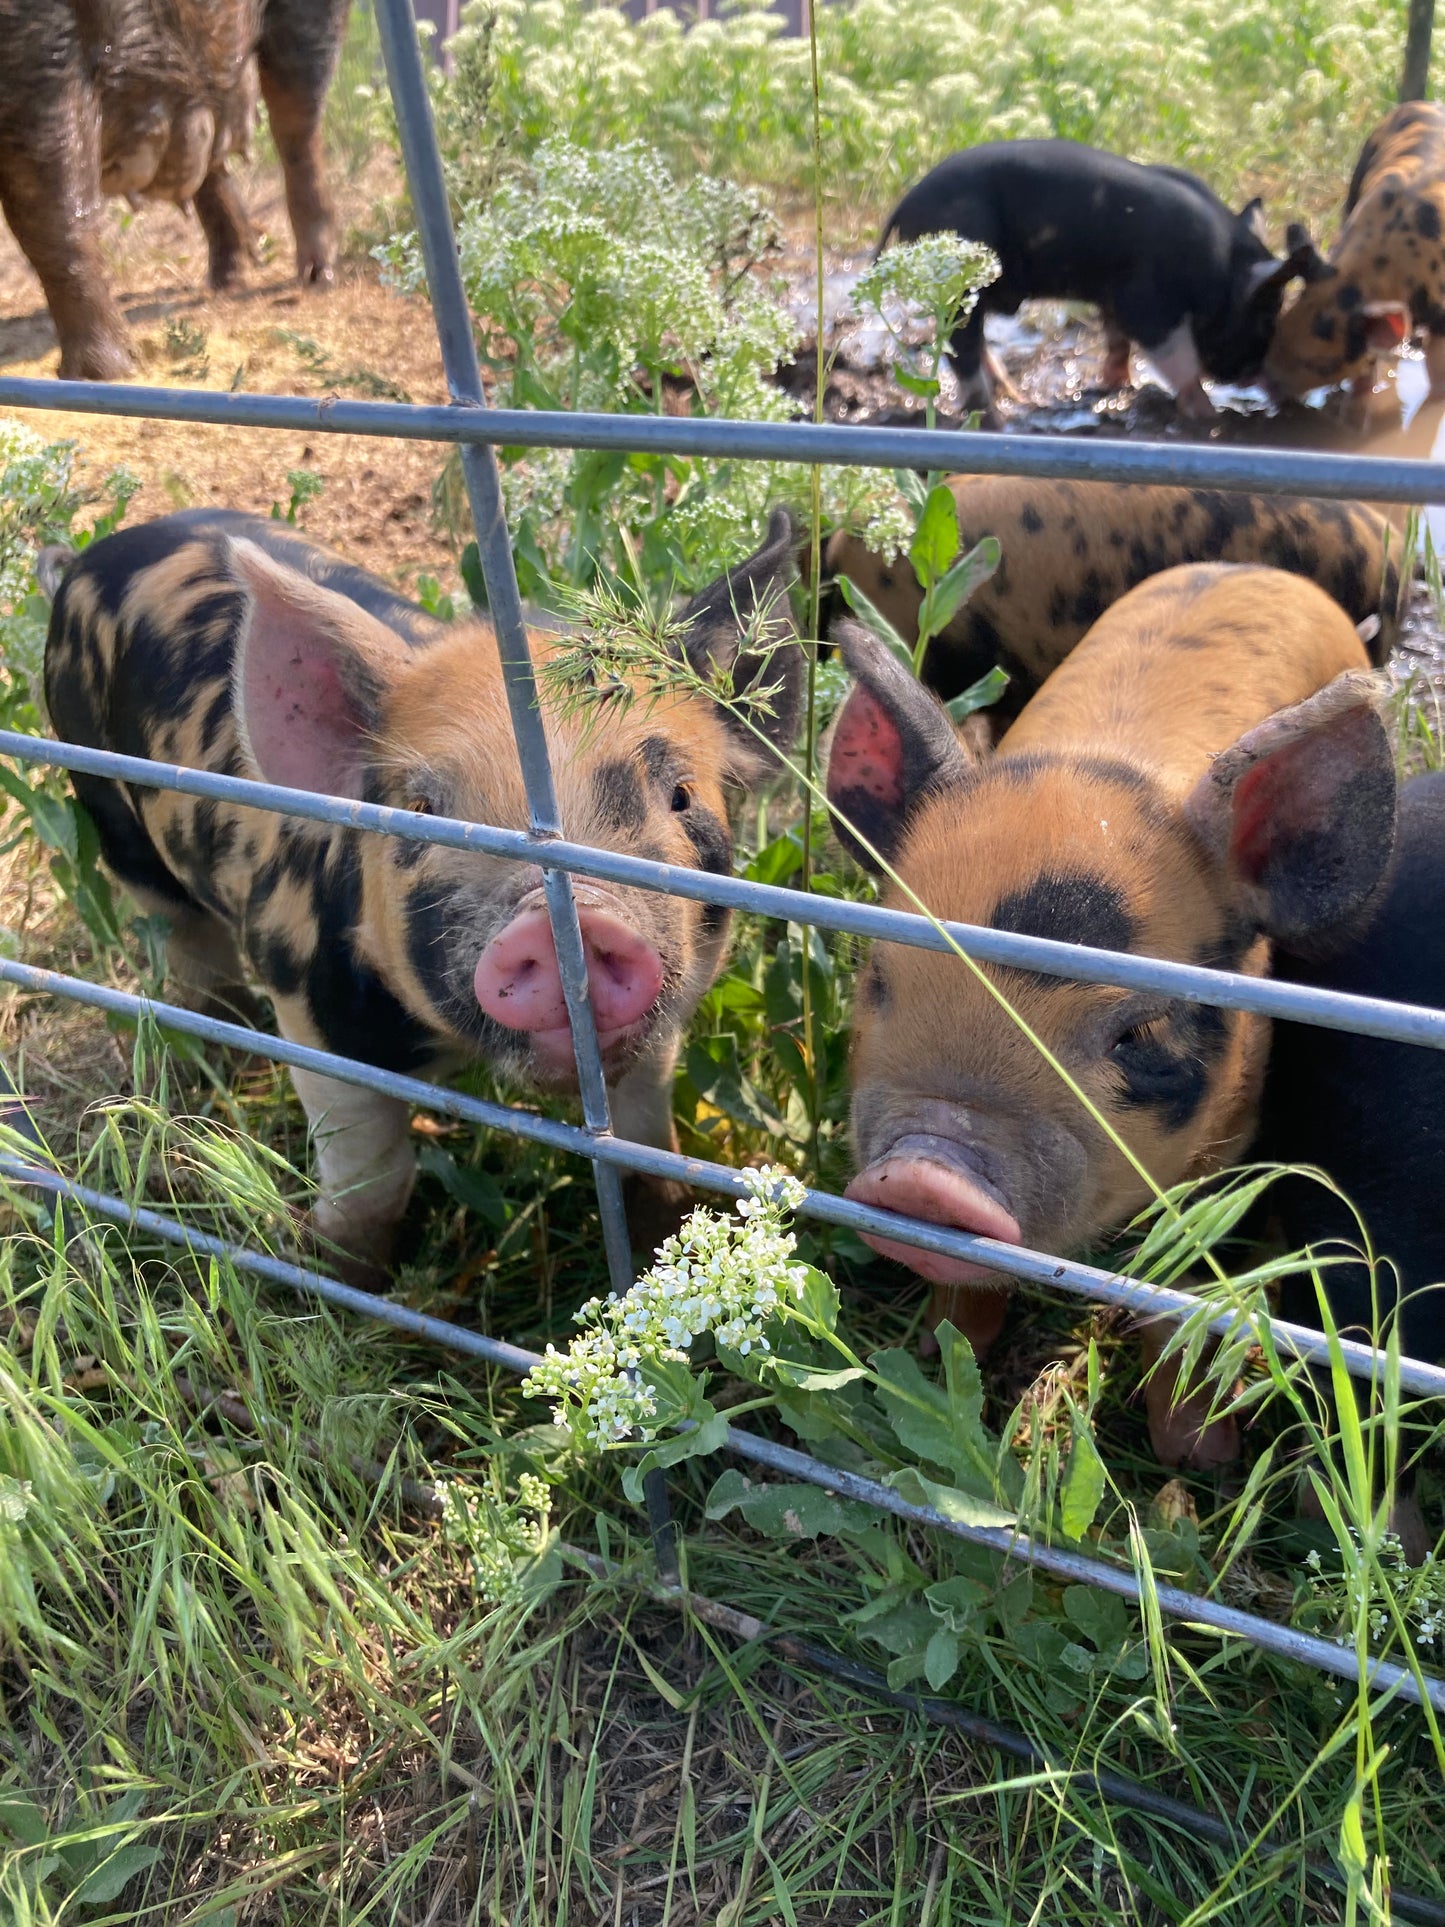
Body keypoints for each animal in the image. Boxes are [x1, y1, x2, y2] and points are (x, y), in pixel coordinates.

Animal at [45, 504, 809, 1271]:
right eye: (422, 810)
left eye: (680, 797)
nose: (569, 918)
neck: (457, 1056)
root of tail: (88, 560)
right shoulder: (314, 1013)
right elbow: (373, 1174)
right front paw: (331, 1265)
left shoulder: (662, 1029)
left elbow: (649, 1151)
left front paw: (667, 1233)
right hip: (105, 807)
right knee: (181, 934)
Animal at [824, 562, 1402, 1464]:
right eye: (879, 977)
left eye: (1139, 1032)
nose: (923, 1173)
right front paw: (934, 1356)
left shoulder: (1231, 1151)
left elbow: (1182, 1298)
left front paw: (1198, 1455)